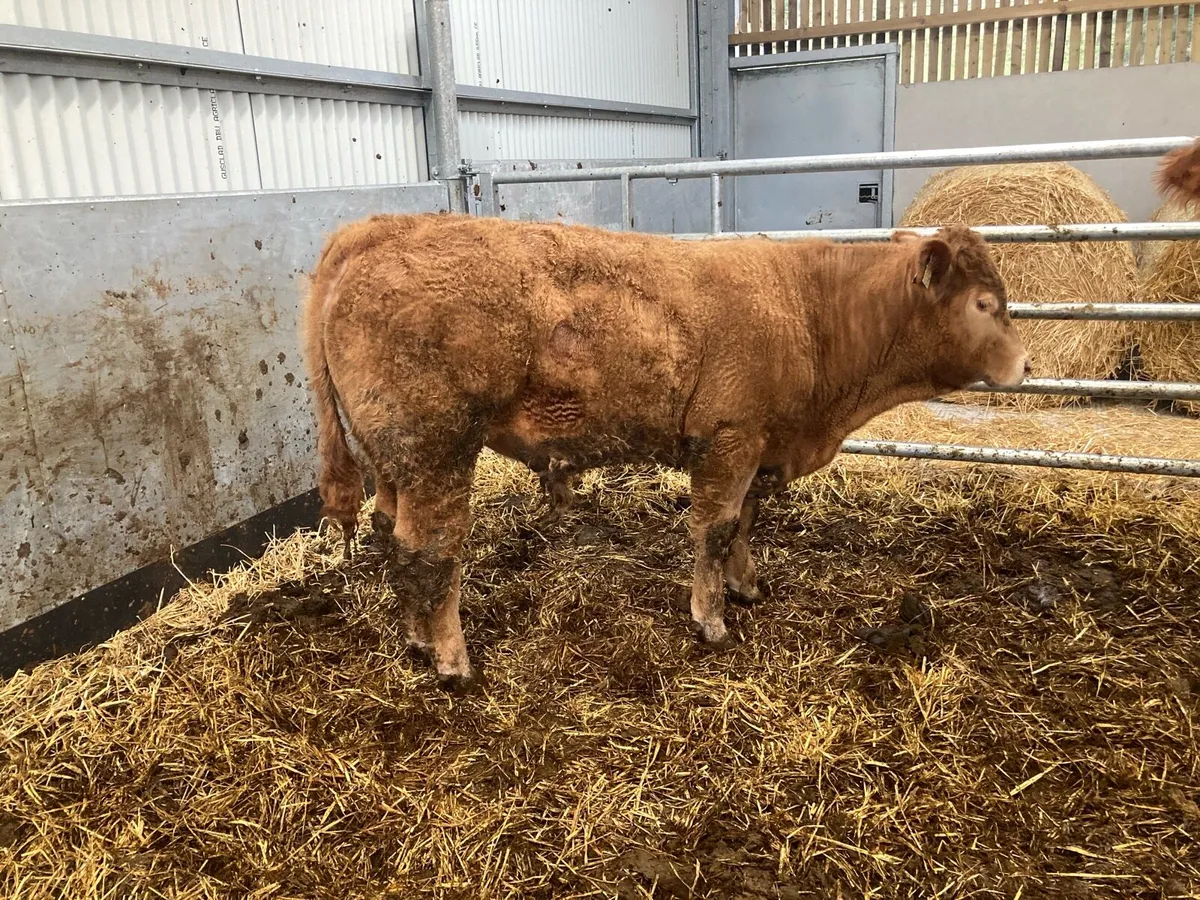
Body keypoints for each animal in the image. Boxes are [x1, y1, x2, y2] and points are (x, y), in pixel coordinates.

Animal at [302, 214, 1029, 690]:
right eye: (983, 302)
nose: (1026, 364)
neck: (812, 311)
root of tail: (378, 226)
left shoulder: (761, 447)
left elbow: (745, 524)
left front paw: (745, 587)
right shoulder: (730, 440)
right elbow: (714, 529)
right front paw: (711, 621)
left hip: (393, 458)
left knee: (390, 534)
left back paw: (415, 640)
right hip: (439, 449)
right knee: (430, 550)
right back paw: (452, 661)